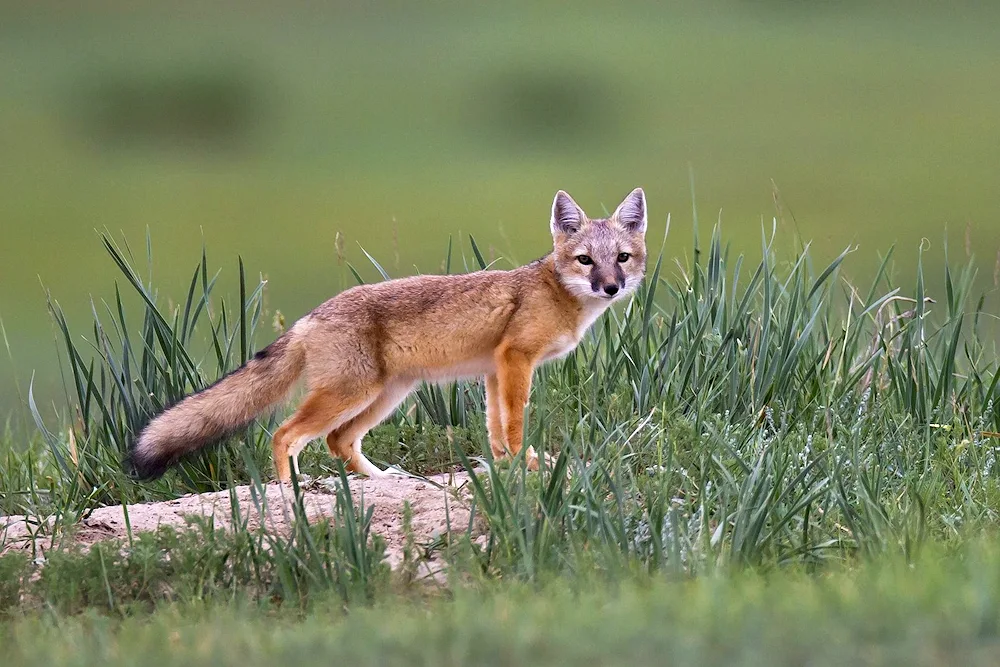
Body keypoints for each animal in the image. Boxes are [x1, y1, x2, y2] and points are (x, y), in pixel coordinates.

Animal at [127, 189, 648, 486]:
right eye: (585, 260)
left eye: (621, 258)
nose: (610, 287)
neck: (554, 291)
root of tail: (309, 316)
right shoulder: (515, 359)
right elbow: (513, 424)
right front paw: (527, 462)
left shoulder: (495, 369)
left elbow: (496, 428)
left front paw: (509, 465)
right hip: (353, 393)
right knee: (285, 433)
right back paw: (291, 492)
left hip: (386, 395)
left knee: (338, 441)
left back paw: (380, 482)